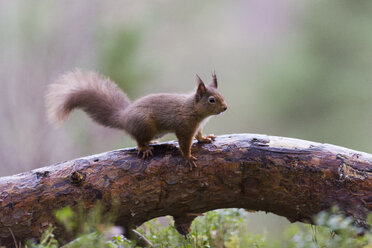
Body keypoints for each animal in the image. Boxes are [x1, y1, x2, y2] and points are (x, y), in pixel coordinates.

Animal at [46, 70, 227, 170]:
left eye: (222, 95)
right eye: (211, 100)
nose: (225, 108)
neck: (193, 109)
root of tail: (124, 118)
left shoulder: (197, 127)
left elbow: (199, 135)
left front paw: (205, 138)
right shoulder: (184, 128)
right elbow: (184, 144)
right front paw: (188, 158)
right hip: (146, 125)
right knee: (138, 140)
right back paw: (144, 148)